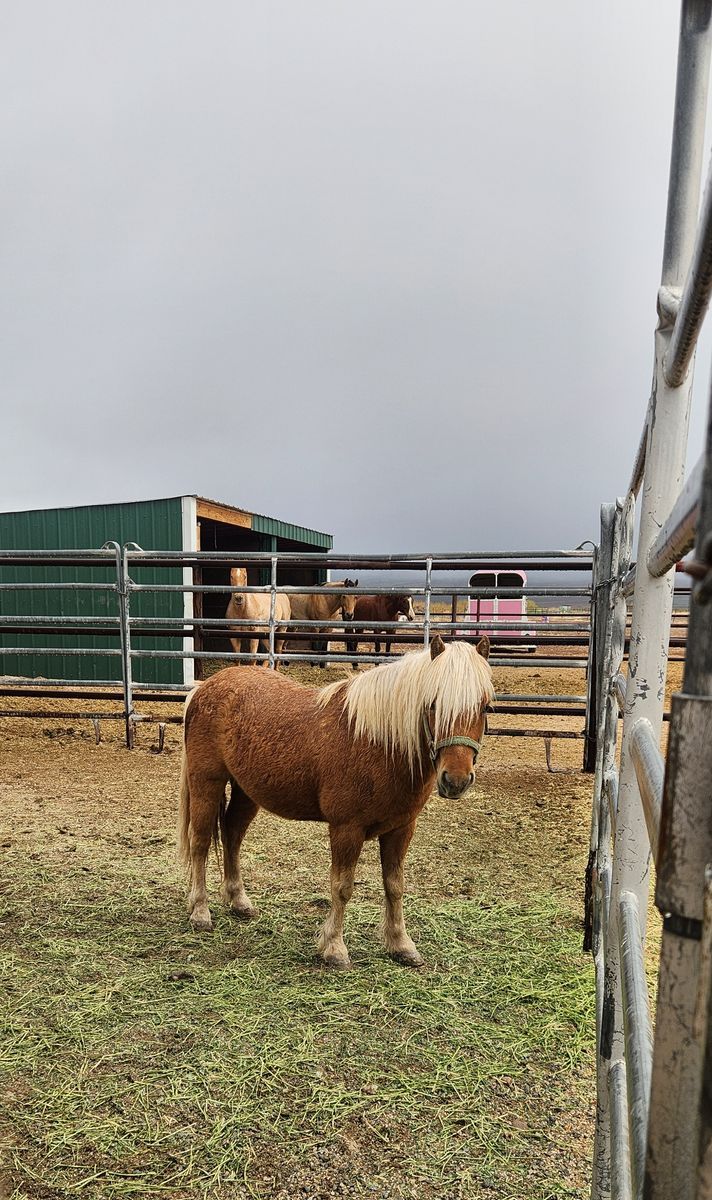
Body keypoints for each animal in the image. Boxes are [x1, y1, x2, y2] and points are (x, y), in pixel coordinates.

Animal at [178, 634, 493, 969]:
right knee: (200, 843)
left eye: (485, 706)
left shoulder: (401, 829)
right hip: (206, 783)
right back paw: (200, 911)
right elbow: (342, 887)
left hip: (246, 791)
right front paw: (334, 948)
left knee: (232, 834)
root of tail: (204, 688)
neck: (379, 743)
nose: (455, 780)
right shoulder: (346, 829)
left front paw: (401, 945)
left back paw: (239, 901)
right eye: (433, 704)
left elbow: (394, 886)